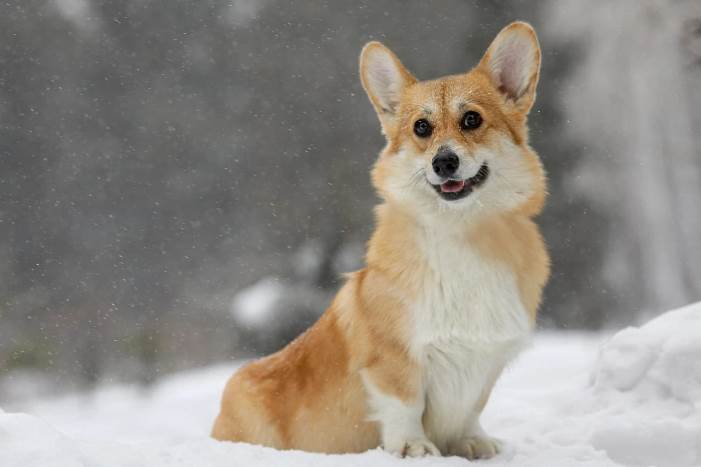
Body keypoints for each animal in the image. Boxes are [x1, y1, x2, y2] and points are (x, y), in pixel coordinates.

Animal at [211, 22, 548, 460]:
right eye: (421, 127)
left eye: (472, 119)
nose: (444, 162)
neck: (461, 232)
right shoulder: (393, 361)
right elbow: (406, 405)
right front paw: (413, 448)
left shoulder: (485, 364)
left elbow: (471, 408)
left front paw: (473, 442)